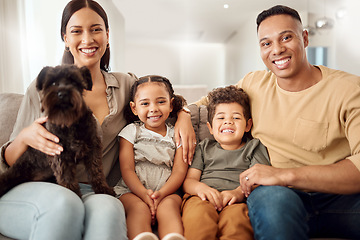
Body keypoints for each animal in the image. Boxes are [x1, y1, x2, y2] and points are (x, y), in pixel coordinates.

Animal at [0, 65, 114, 197]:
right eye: (53, 83)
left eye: (74, 82)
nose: (62, 93)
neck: (69, 123)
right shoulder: (60, 154)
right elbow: (67, 177)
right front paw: (73, 194)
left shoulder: (92, 148)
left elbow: (96, 171)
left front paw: (103, 189)